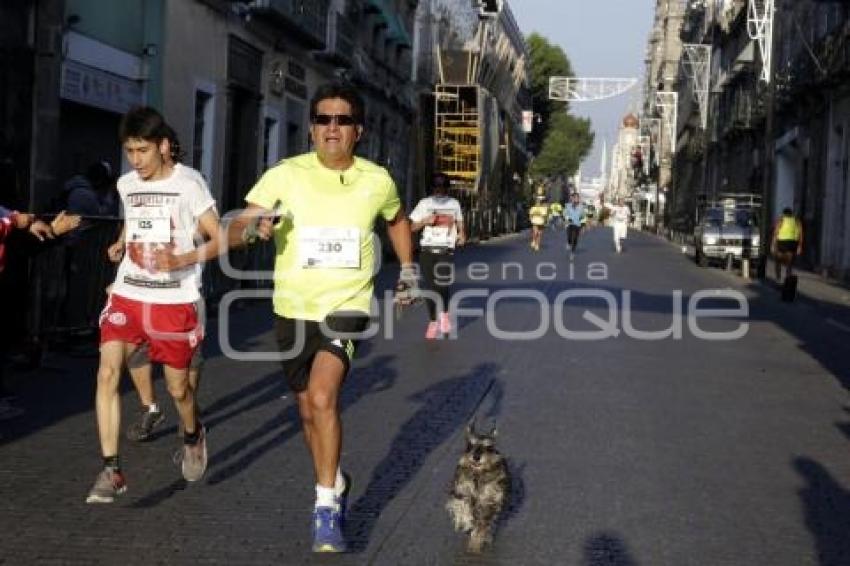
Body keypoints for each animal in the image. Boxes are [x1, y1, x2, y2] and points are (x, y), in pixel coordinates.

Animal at [448, 422, 506, 556]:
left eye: (488, 447)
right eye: (470, 445)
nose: (476, 457)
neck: (478, 474)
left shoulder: (489, 501)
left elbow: (482, 525)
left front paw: (475, 543)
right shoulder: (460, 491)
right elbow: (462, 505)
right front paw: (464, 520)